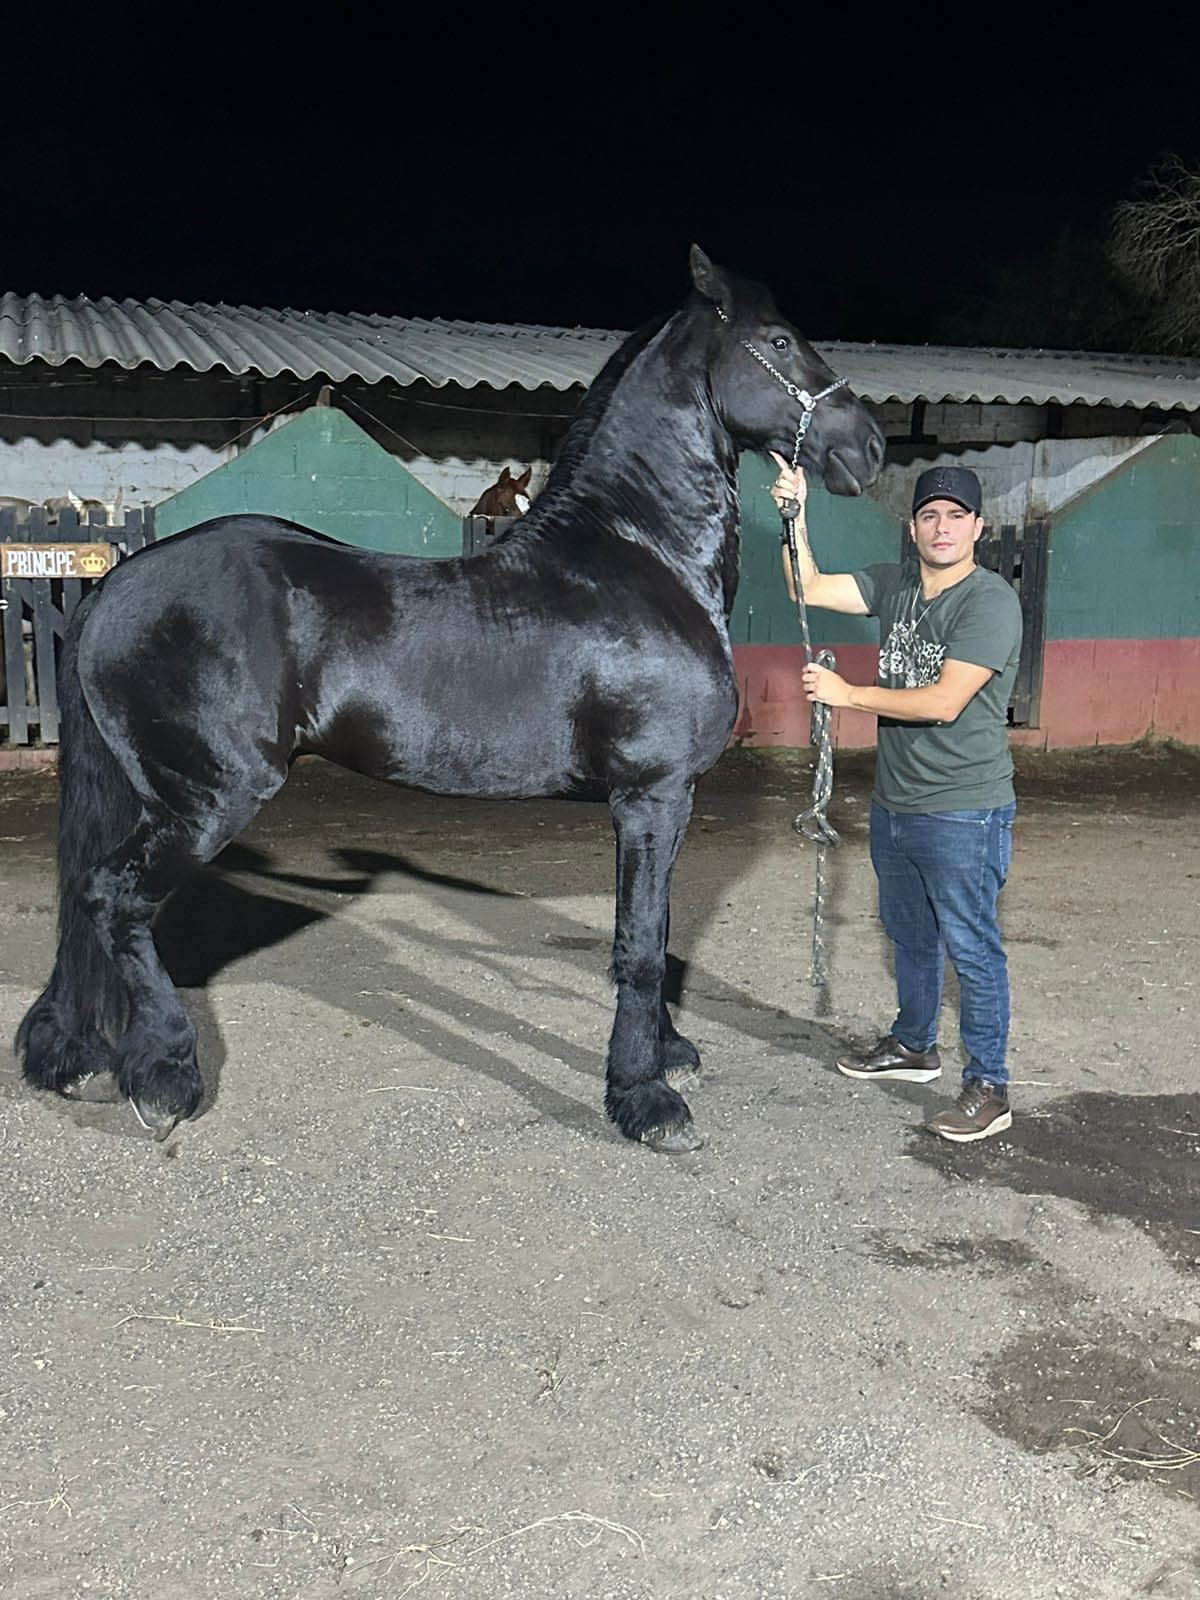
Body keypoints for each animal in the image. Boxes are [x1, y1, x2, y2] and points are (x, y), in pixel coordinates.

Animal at [14, 246, 889, 1152]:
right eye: (781, 342)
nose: (869, 446)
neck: (639, 556)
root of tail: (116, 583)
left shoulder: (663, 804)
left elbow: (652, 931)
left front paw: (668, 1054)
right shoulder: (653, 796)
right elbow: (645, 944)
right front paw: (646, 1098)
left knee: (91, 902)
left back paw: (76, 1056)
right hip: (208, 799)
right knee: (114, 899)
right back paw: (164, 1075)